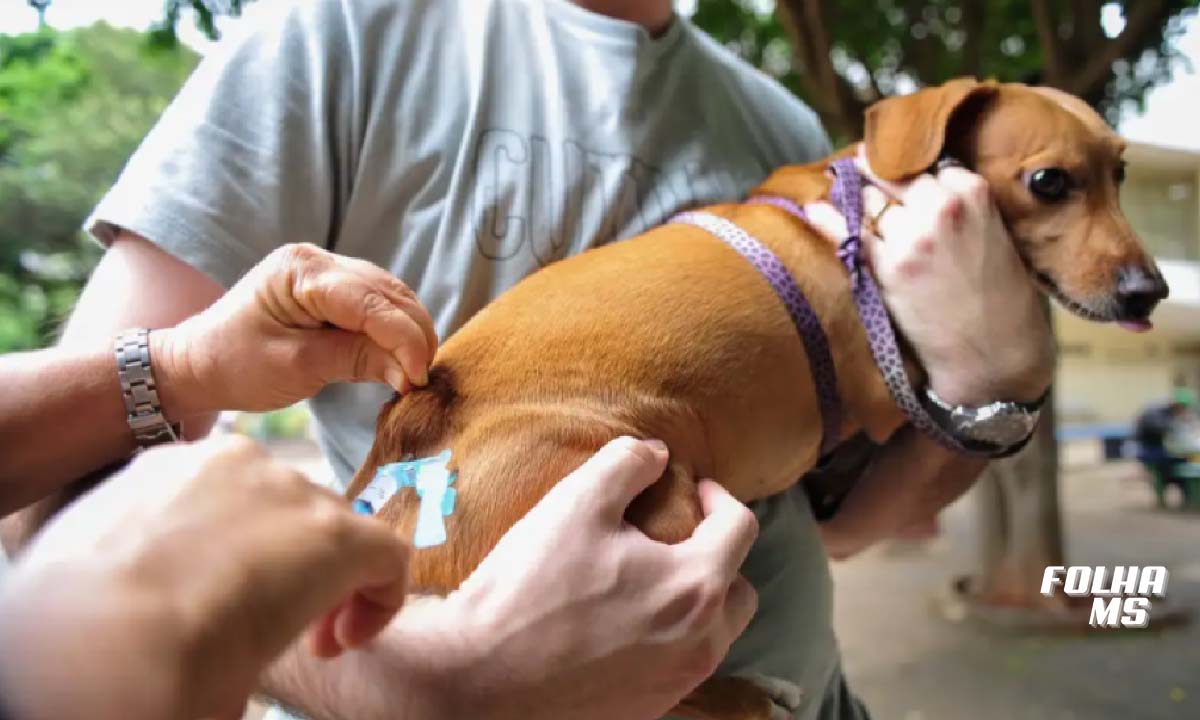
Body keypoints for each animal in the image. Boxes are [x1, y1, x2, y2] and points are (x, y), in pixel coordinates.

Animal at [345, 75, 1161, 715]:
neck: (861, 200)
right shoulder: (889, 391)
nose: (1150, 290)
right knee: (647, 692)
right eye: (1050, 181)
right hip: (656, 503)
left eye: (1123, 173)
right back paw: (752, 695)